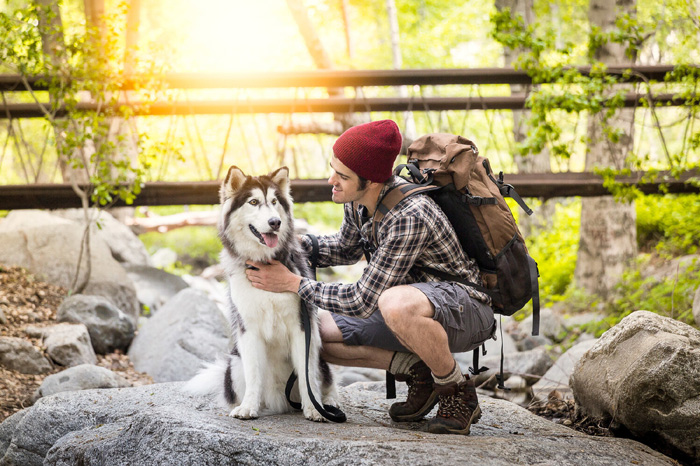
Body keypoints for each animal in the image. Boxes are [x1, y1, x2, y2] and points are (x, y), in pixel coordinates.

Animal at [186, 166, 340, 420]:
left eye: (275, 202)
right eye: (254, 202)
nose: (275, 222)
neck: (264, 263)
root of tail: (281, 403)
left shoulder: (301, 327)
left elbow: (307, 376)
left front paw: (314, 408)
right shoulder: (249, 330)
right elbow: (254, 374)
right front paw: (248, 407)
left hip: (319, 356)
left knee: (324, 381)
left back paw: (328, 402)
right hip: (234, 365)